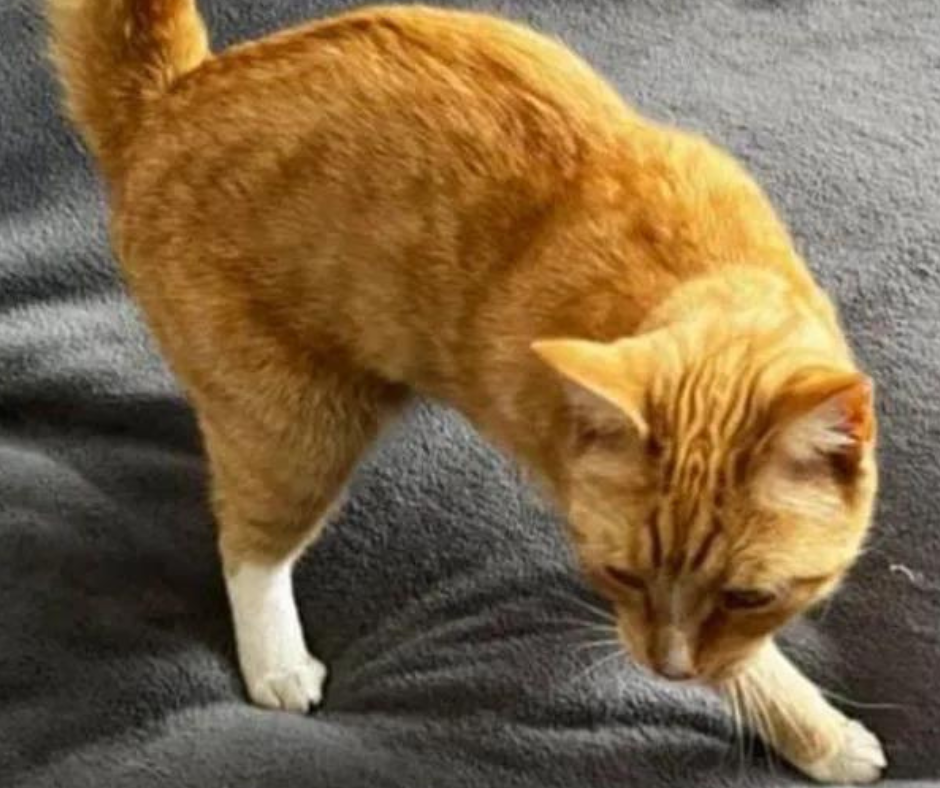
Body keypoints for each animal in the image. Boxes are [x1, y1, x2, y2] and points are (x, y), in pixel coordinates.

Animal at [49, 1, 888, 780]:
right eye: (619, 574)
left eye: (749, 596)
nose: (667, 669)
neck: (697, 281)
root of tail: (169, 99)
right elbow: (754, 675)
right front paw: (825, 738)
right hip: (301, 429)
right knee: (248, 547)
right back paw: (278, 665)